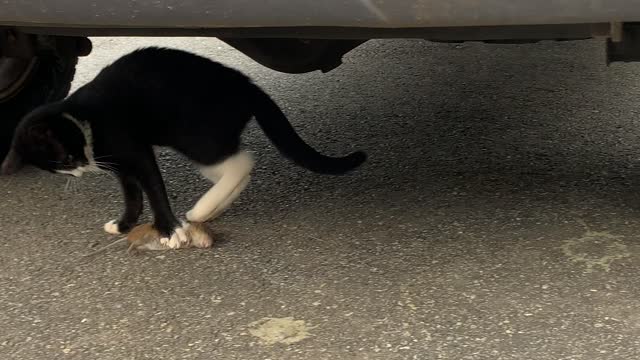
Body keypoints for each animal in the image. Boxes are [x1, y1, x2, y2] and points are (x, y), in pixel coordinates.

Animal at [1, 47, 364, 249]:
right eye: (62, 166)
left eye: (66, 156)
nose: (82, 167)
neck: (84, 117)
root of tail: (246, 84)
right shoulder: (120, 166)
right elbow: (132, 195)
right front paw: (124, 224)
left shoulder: (136, 152)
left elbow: (153, 189)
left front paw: (168, 230)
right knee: (235, 167)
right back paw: (212, 209)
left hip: (193, 135)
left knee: (242, 162)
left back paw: (202, 210)